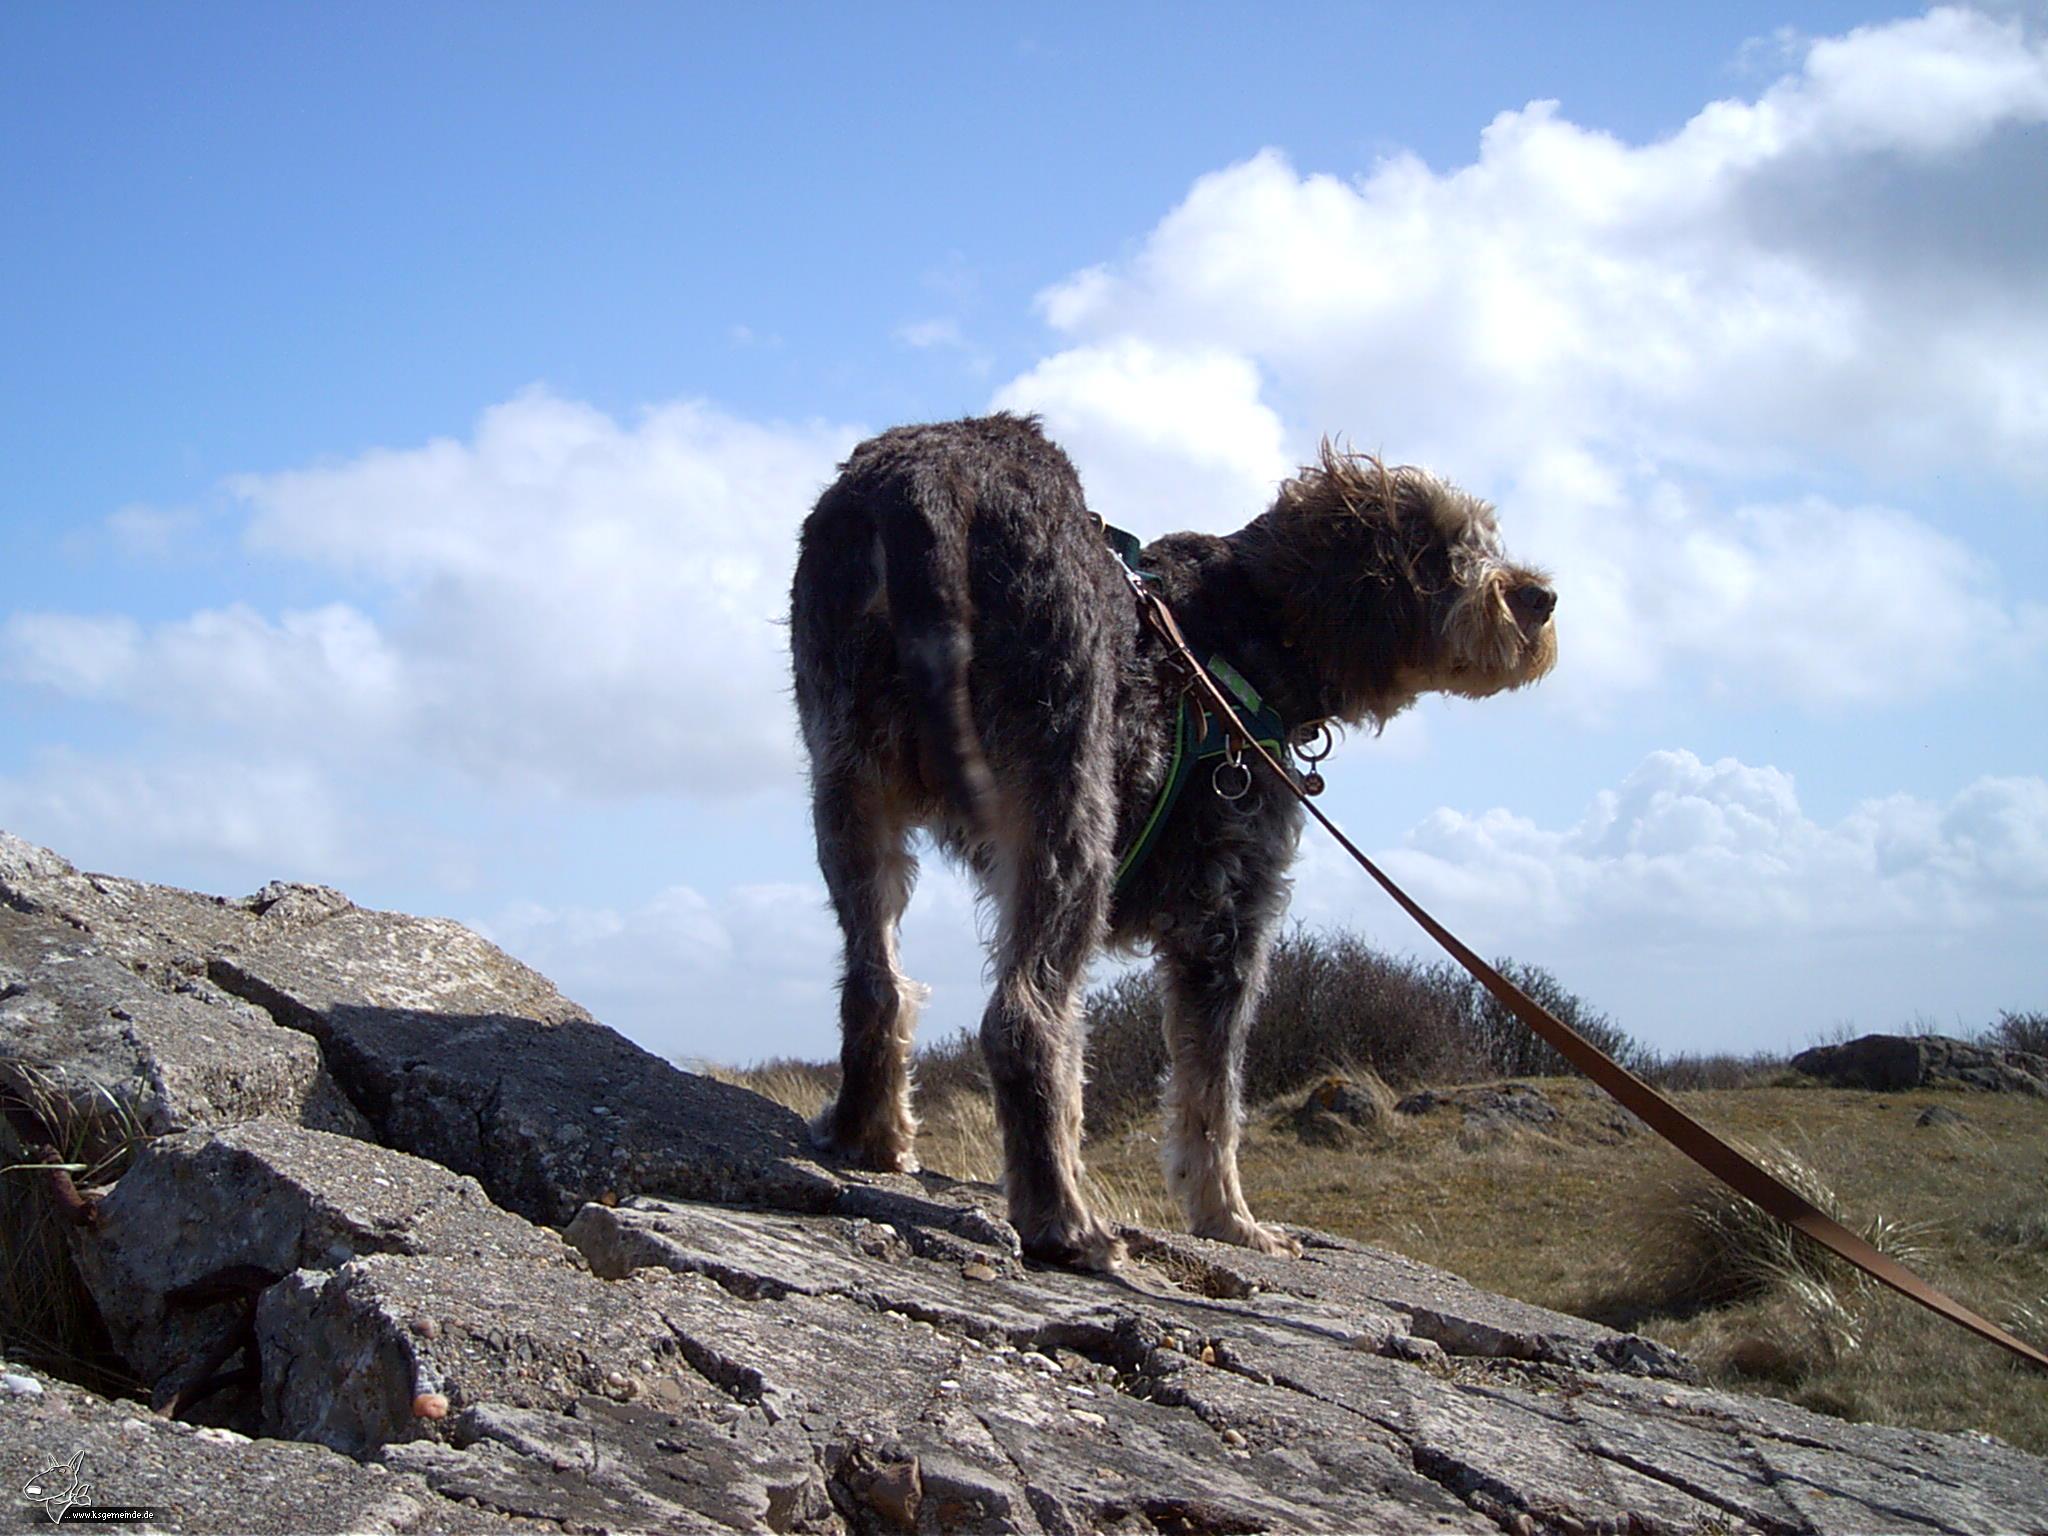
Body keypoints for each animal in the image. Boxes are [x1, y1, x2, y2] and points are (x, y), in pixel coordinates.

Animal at [790, 415, 1556, 1269]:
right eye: (1439, 546)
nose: (1541, 598)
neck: (1251, 633)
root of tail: (931, 483)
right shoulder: (1227, 919)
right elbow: (1212, 1097)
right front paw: (1231, 1220)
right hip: (1068, 818)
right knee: (1023, 1022)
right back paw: (1065, 1222)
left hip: (850, 791)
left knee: (875, 985)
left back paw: (869, 1137)